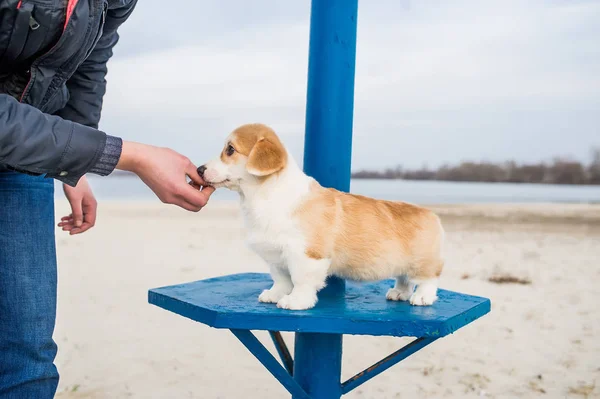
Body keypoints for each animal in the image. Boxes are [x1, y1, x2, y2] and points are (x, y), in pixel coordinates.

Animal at [199, 123, 442, 310]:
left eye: (230, 150)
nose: (200, 169)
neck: (265, 195)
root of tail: (430, 214)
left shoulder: (306, 255)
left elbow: (301, 281)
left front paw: (295, 302)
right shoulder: (276, 256)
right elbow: (281, 279)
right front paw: (275, 295)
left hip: (422, 263)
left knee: (428, 280)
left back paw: (422, 297)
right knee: (403, 279)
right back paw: (399, 293)